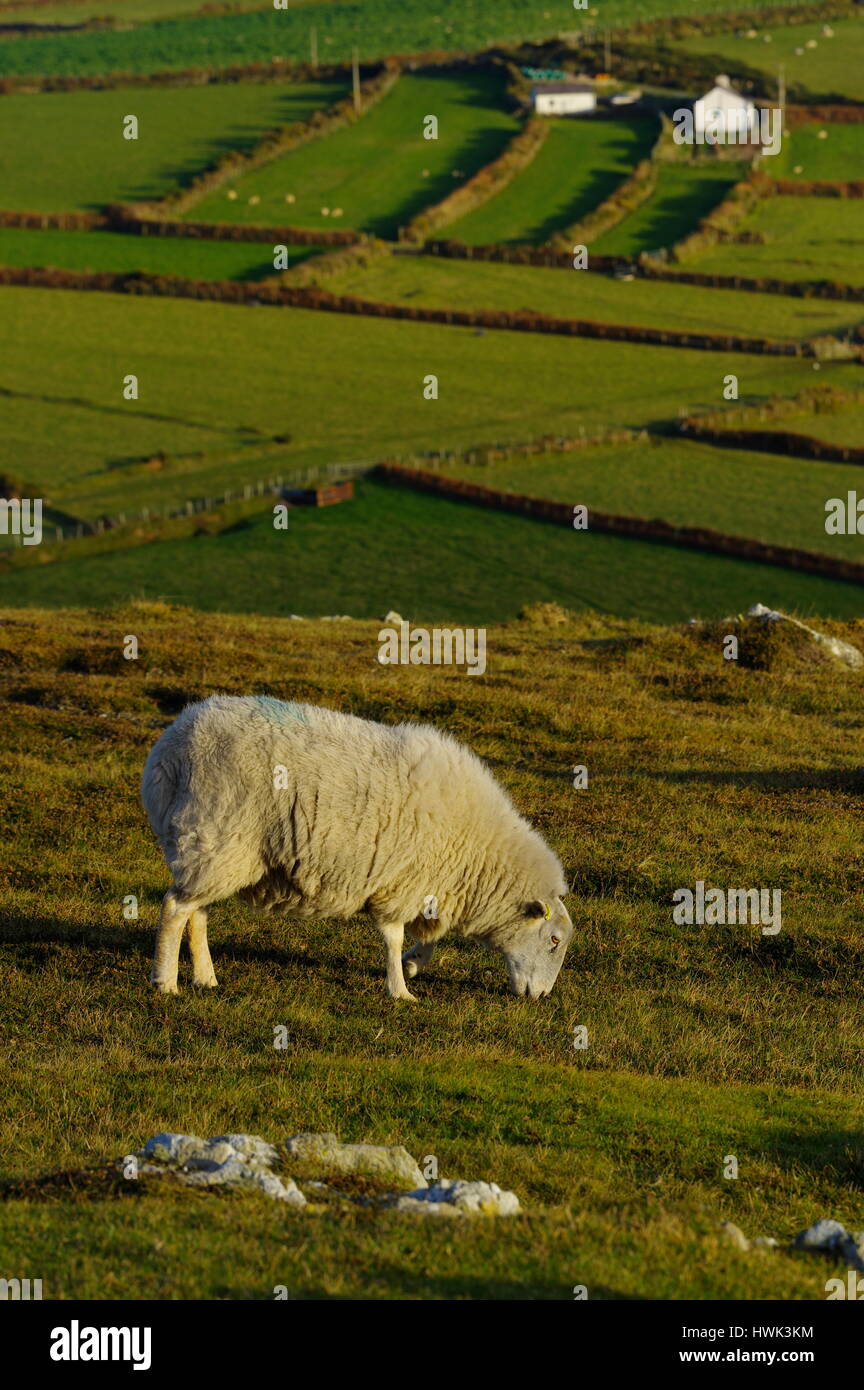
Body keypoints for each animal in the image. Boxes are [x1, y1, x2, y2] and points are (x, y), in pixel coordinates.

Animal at [141, 696, 573, 1000]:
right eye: (554, 940)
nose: (540, 996)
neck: (479, 852)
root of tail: (170, 749)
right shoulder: (403, 882)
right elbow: (393, 937)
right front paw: (400, 989)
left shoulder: (431, 884)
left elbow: (430, 936)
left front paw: (414, 965)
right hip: (219, 833)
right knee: (176, 908)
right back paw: (165, 981)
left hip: (215, 848)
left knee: (197, 911)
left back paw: (205, 977)